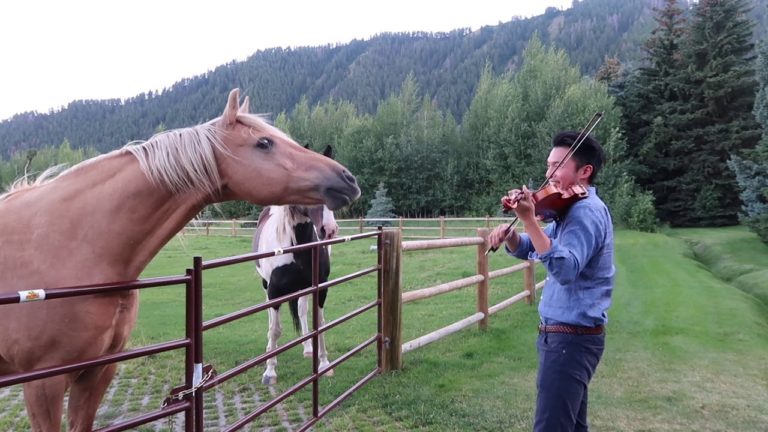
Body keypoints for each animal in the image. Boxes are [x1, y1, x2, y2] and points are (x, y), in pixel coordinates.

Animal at [252, 146, 339, 385]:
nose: (329, 230)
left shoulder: (320, 287)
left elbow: (319, 322)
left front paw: (324, 364)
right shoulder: (274, 291)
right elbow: (275, 330)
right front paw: (269, 372)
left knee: (301, 312)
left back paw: (308, 348)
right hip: (266, 286)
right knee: (271, 318)